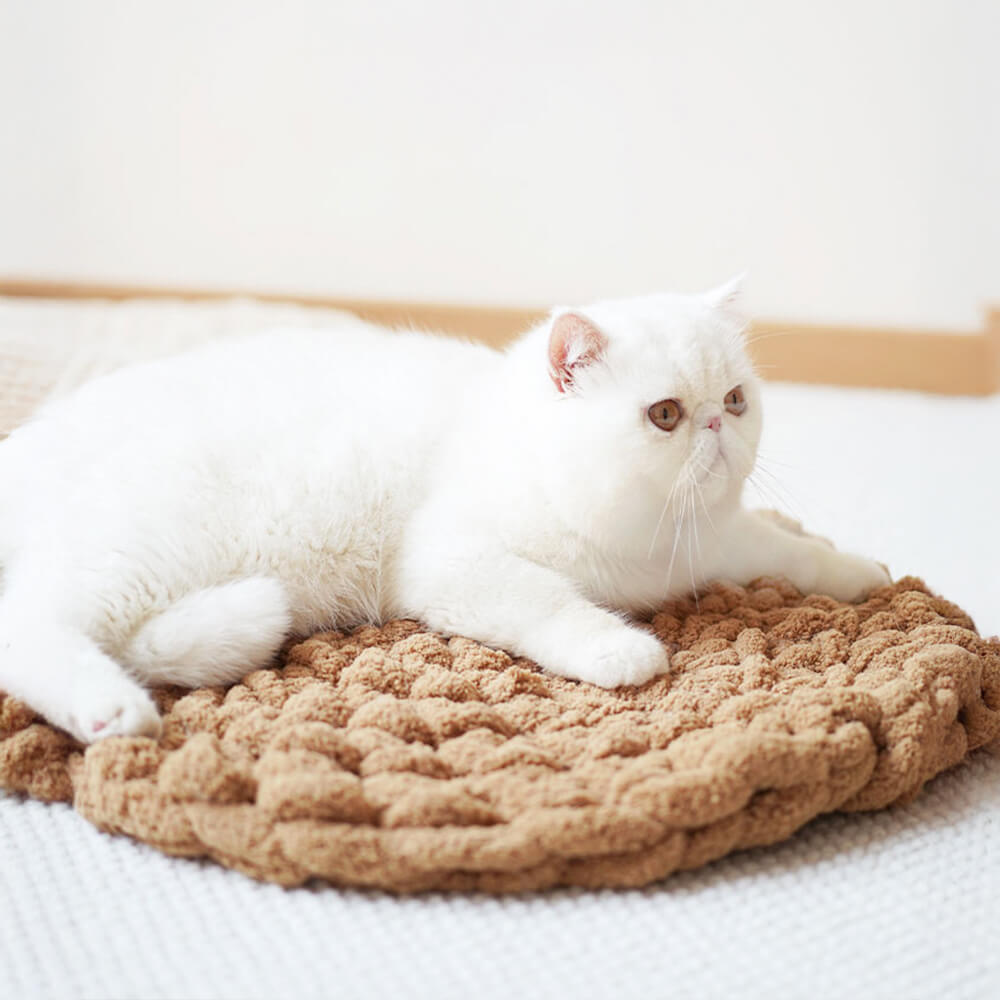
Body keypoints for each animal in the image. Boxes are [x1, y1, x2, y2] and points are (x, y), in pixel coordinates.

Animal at [0, 282, 892, 744]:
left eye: (736, 400)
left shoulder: (713, 541)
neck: (643, 539)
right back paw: (111, 709)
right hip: (138, 549)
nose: (716, 426)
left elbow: (787, 549)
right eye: (665, 415)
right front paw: (619, 648)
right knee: (27, 626)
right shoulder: (451, 562)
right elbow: (547, 601)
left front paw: (859, 573)